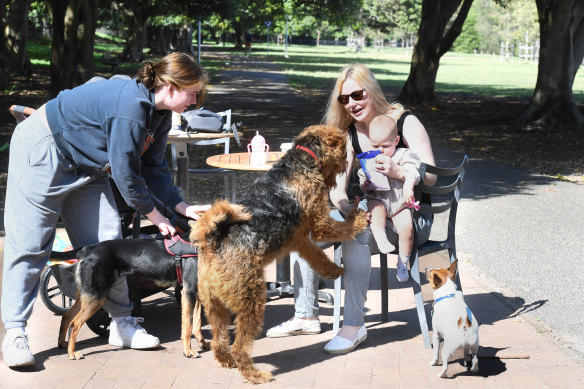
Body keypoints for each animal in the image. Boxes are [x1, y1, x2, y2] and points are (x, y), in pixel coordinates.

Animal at [56, 233, 210, 358]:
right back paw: (72, 353)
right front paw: (188, 352)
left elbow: (197, 325)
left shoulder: (195, 293)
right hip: (96, 296)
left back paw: (63, 345)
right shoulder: (188, 293)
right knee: (74, 323)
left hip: (87, 294)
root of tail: (87, 249)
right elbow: (187, 326)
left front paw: (203, 344)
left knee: (66, 316)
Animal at [190, 124, 364, 382]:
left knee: (219, 343)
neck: (301, 161)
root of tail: (214, 242)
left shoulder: (299, 239)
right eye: (343, 149)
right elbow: (343, 227)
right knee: (239, 346)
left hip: (214, 305)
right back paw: (255, 374)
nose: (351, 165)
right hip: (251, 301)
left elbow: (317, 257)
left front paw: (333, 271)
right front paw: (360, 218)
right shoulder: (320, 224)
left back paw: (228, 362)